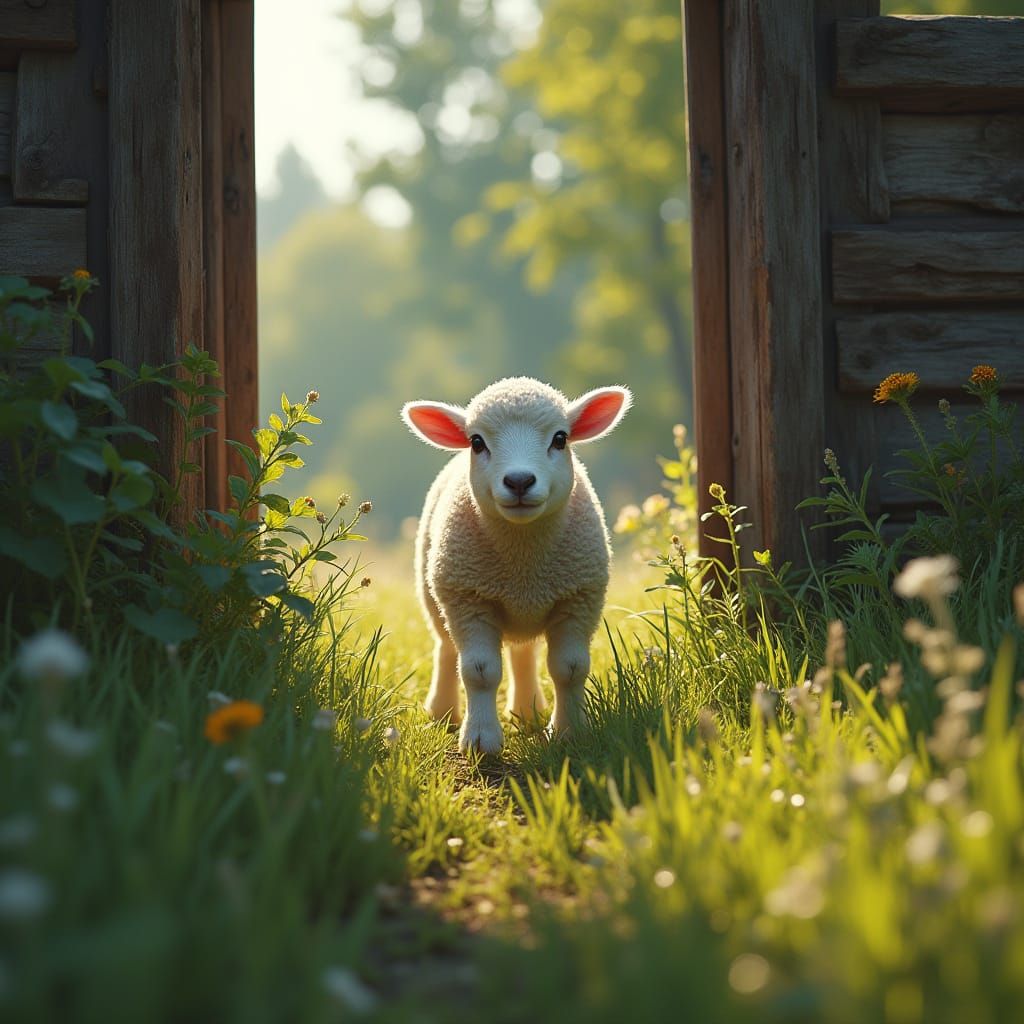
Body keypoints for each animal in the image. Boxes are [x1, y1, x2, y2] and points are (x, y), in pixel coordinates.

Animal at [401, 377, 631, 754]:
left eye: (560, 438)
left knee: (523, 654)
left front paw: (568, 732)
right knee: (446, 649)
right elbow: (479, 670)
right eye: (476, 442)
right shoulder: (469, 598)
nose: (520, 481)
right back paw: (443, 713)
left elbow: (569, 669)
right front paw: (480, 739)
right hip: (435, 594)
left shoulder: (579, 598)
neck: (523, 562)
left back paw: (527, 712)